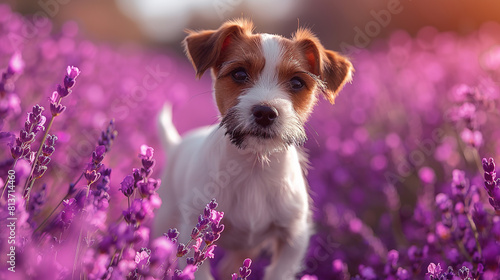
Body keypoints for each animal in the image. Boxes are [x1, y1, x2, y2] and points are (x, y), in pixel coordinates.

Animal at [154, 18, 354, 278]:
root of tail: (176, 144)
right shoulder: (192, 229)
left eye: (297, 82)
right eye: (239, 74)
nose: (265, 112)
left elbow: (279, 273)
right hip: (165, 216)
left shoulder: (294, 237)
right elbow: (197, 269)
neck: (255, 165)